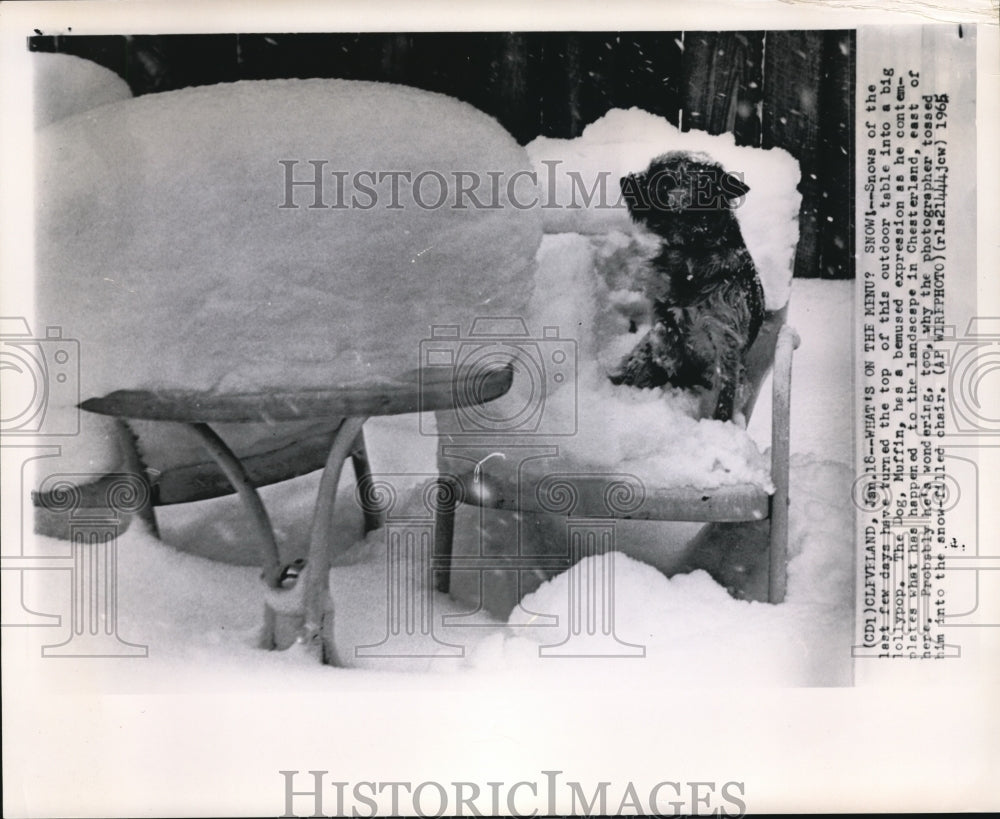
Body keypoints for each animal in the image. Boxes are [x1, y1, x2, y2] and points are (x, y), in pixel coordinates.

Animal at [608, 151, 764, 422]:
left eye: (663, 179)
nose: (624, 180)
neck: (693, 248)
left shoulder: (726, 335)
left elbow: (726, 384)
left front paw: (721, 420)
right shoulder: (661, 302)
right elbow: (663, 327)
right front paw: (668, 354)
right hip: (639, 360)